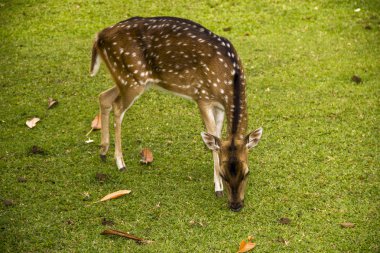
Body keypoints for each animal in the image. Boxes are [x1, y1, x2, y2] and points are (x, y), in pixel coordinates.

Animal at [89, 16, 262, 211]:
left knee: (104, 97)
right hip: (132, 78)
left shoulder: (219, 106)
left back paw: (103, 151)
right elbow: (212, 138)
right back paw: (120, 163)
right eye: (224, 174)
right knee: (117, 107)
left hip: (126, 79)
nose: (236, 205)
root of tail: (99, 36)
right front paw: (217, 187)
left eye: (247, 173)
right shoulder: (201, 96)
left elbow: (217, 136)